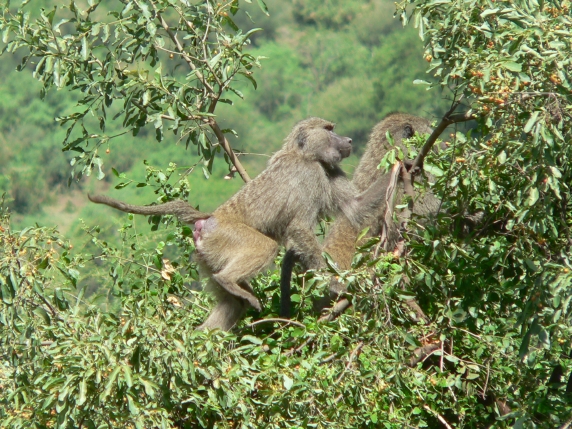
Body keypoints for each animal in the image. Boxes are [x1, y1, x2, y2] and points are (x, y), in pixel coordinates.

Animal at [90, 117, 394, 330]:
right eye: (329, 129)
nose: (349, 140)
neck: (304, 155)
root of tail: (208, 220)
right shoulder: (309, 176)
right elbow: (299, 229)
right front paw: (334, 285)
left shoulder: (329, 169)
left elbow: (356, 208)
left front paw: (399, 167)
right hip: (227, 236)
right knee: (263, 249)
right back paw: (230, 283)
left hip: (208, 255)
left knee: (230, 303)